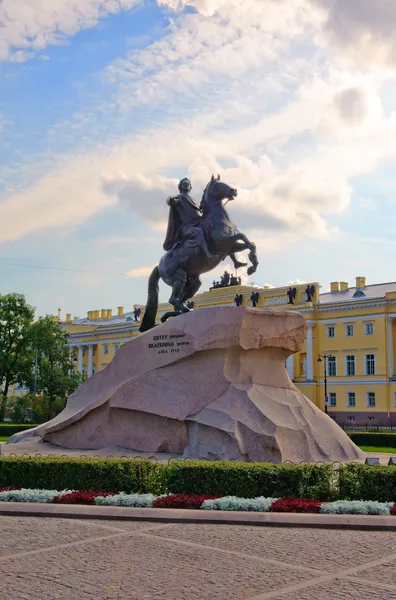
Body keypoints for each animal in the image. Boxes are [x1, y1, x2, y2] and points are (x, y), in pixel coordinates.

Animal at [140, 173, 260, 332]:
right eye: (217, 185)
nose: (234, 191)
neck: (216, 218)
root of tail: (158, 266)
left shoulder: (230, 247)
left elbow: (250, 244)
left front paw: (250, 265)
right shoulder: (222, 241)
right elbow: (243, 236)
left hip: (193, 283)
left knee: (179, 301)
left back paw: (179, 313)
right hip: (179, 277)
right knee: (173, 299)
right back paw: (181, 311)